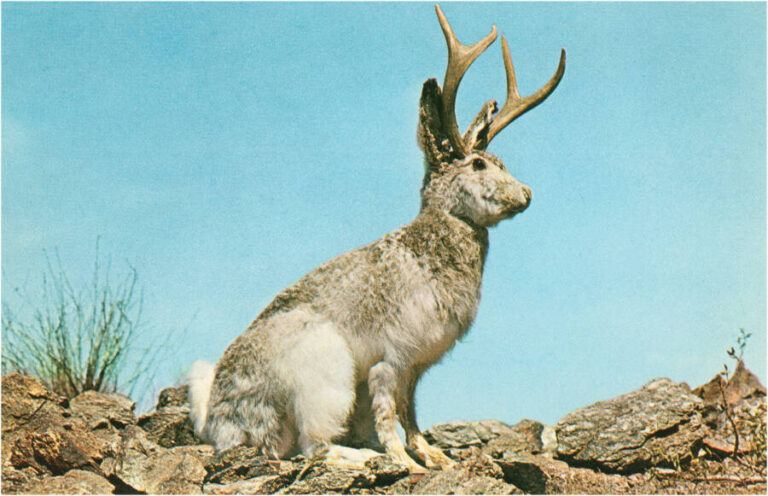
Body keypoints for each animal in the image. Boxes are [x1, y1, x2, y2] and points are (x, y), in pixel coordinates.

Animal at [188, 4, 565, 473]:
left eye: (500, 162)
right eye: (478, 165)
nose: (526, 194)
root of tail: (222, 427)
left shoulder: (415, 370)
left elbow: (411, 412)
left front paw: (436, 458)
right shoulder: (390, 361)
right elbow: (389, 413)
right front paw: (406, 463)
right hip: (325, 373)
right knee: (315, 447)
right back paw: (367, 457)